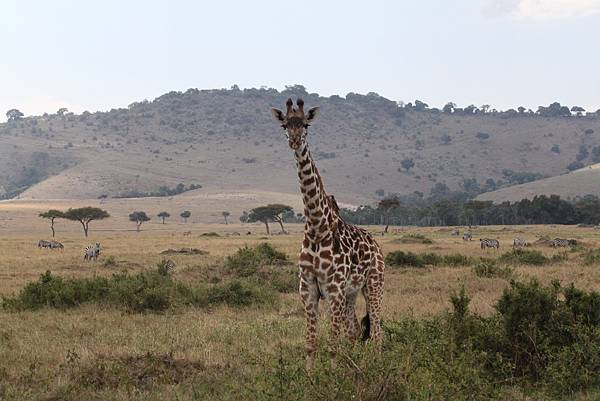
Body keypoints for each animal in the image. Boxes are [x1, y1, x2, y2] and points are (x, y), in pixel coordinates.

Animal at [270, 97, 384, 368]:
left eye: (306, 124)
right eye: (285, 125)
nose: (294, 140)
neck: (316, 227)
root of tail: (377, 246)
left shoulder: (333, 289)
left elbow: (332, 344)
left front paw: (332, 375)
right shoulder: (308, 289)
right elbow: (311, 343)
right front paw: (312, 375)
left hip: (374, 284)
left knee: (377, 331)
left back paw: (377, 365)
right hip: (352, 293)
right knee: (354, 332)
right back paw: (355, 366)